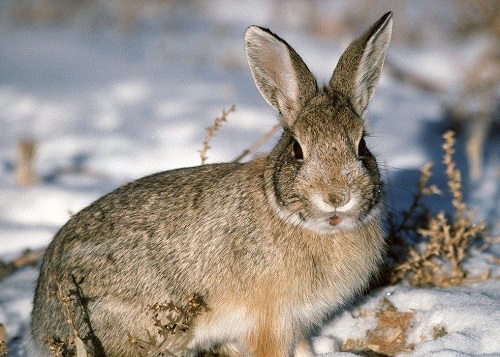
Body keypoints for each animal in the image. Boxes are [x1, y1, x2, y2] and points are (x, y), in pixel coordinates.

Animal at [29, 11, 392, 356]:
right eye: (297, 150)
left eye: (361, 146)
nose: (336, 196)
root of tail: (40, 321)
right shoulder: (269, 321)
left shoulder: (296, 322)